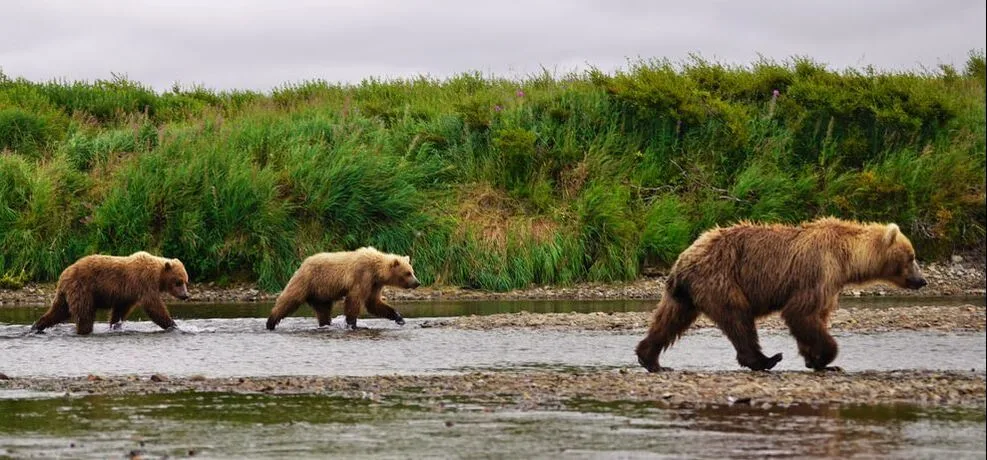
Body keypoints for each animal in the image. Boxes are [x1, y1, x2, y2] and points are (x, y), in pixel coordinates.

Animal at [31, 251, 190, 335]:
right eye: (178, 282)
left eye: (185, 281)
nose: (186, 295)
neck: (158, 277)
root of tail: (64, 274)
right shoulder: (144, 283)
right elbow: (154, 306)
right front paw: (174, 325)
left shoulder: (127, 294)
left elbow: (120, 310)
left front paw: (115, 325)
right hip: (83, 288)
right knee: (84, 314)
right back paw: (84, 330)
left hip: (65, 294)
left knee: (58, 311)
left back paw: (36, 326)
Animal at [265, 247, 421, 331]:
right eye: (408, 273)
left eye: (412, 271)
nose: (417, 282)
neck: (377, 271)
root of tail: (303, 262)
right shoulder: (362, 276)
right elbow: (354, 300)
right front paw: (352, 324)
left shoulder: (375, 284)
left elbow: (373, 303)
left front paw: (399, 318)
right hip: (307, 281)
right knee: (289, 299)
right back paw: (270, 322)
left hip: (321, 294)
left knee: (323, 311)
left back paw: (325, 324)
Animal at [635, 217, 927, 372]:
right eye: (912, 256)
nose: (922, 280)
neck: (846, 259)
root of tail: (683, 259)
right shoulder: (818, 271)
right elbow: (800, 313)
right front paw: (825, 356)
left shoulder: (830, 283)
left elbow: (815, 317)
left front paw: (814, 359)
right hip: (721, 279)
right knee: (738, 319)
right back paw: (765, 359)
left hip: (685, 293)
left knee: (670, 320)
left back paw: (650, 358)